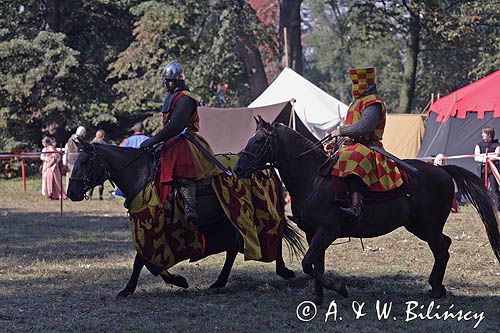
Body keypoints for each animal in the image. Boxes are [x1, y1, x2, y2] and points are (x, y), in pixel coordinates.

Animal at [66, 139, 300, 296]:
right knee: (234, 248)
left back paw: (283, 270)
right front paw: (174, 280)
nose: (71, 193)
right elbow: (145, 260)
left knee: (273, 234)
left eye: (85, 161)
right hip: (231, 218)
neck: (141, 176)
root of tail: (267, 168)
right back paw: (220, 281)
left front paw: (134, 287)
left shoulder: (153, 227)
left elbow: (141, 259)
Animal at [234, 117, 500, 304]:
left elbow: (308, 264)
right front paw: (318, 298)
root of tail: (442, 170)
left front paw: (339, 288)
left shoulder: (326, 232)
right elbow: (316, 265)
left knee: (442, 250)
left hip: (427, 226)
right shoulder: (313, 234)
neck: (313, 176)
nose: (238, 168)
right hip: (420, 226)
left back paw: (435, 289)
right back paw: (436, 285)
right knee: (444, 246)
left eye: (258, 141)